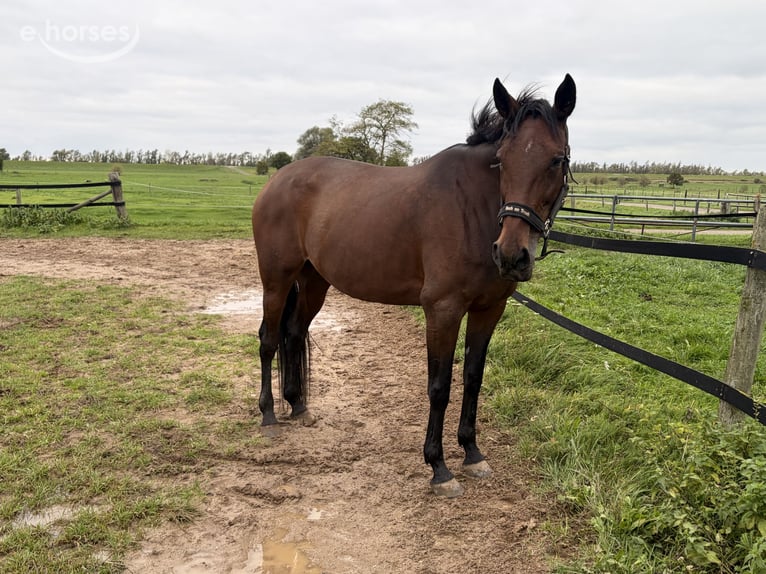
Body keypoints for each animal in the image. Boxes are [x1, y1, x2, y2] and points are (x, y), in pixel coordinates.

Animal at [251, 74, 576, 497]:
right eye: (502, 160)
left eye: (556, 160)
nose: (510, 255)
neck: (471, 207)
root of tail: (278, 179)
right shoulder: (443, 309)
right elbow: (439, 385)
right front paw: (439, 468)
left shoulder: (489, 308)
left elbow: (473, 378)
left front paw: (472, 453)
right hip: (276, 280)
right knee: (269, 339)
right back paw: (269, 416)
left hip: (313, 282)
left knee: (292, 332)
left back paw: (298, 406)